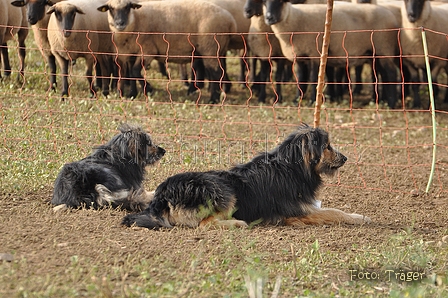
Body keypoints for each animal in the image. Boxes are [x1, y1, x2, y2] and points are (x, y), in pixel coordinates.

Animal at [97, 0, 238, 103]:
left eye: (128, 7)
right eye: (110, 8)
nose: (120, 23)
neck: (136, 20)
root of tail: (230, 20)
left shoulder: (148, 50)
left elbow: (135, 72)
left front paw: (149, 89)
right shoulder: (132, 53)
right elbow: (131, 74)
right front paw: (133, 94)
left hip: (210, 47)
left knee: (216, 73)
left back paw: (213, 100)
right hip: (215, 49)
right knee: (216, 72)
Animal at [121, 123, 370, 228]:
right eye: (327, 146)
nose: (345, 158)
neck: (293, 168)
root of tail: (163, 194)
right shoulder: (299, 212)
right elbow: (334, 212)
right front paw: (359, 217)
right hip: (222, 190)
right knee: (205, 225)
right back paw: (238, 223)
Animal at [262, 0, 400, 107]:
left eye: (281, 1)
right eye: (264, 2)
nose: (269, 18)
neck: (295, 19)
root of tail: (391, 16)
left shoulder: (314, 53)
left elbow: (313, 79)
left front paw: (312, 101)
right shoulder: (300, 56)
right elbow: (301, 79)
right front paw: (297, 101)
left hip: (383, 48)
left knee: (391, 73)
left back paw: (391, 103)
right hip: (375, 54)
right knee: (383, 74)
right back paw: (383, 101)